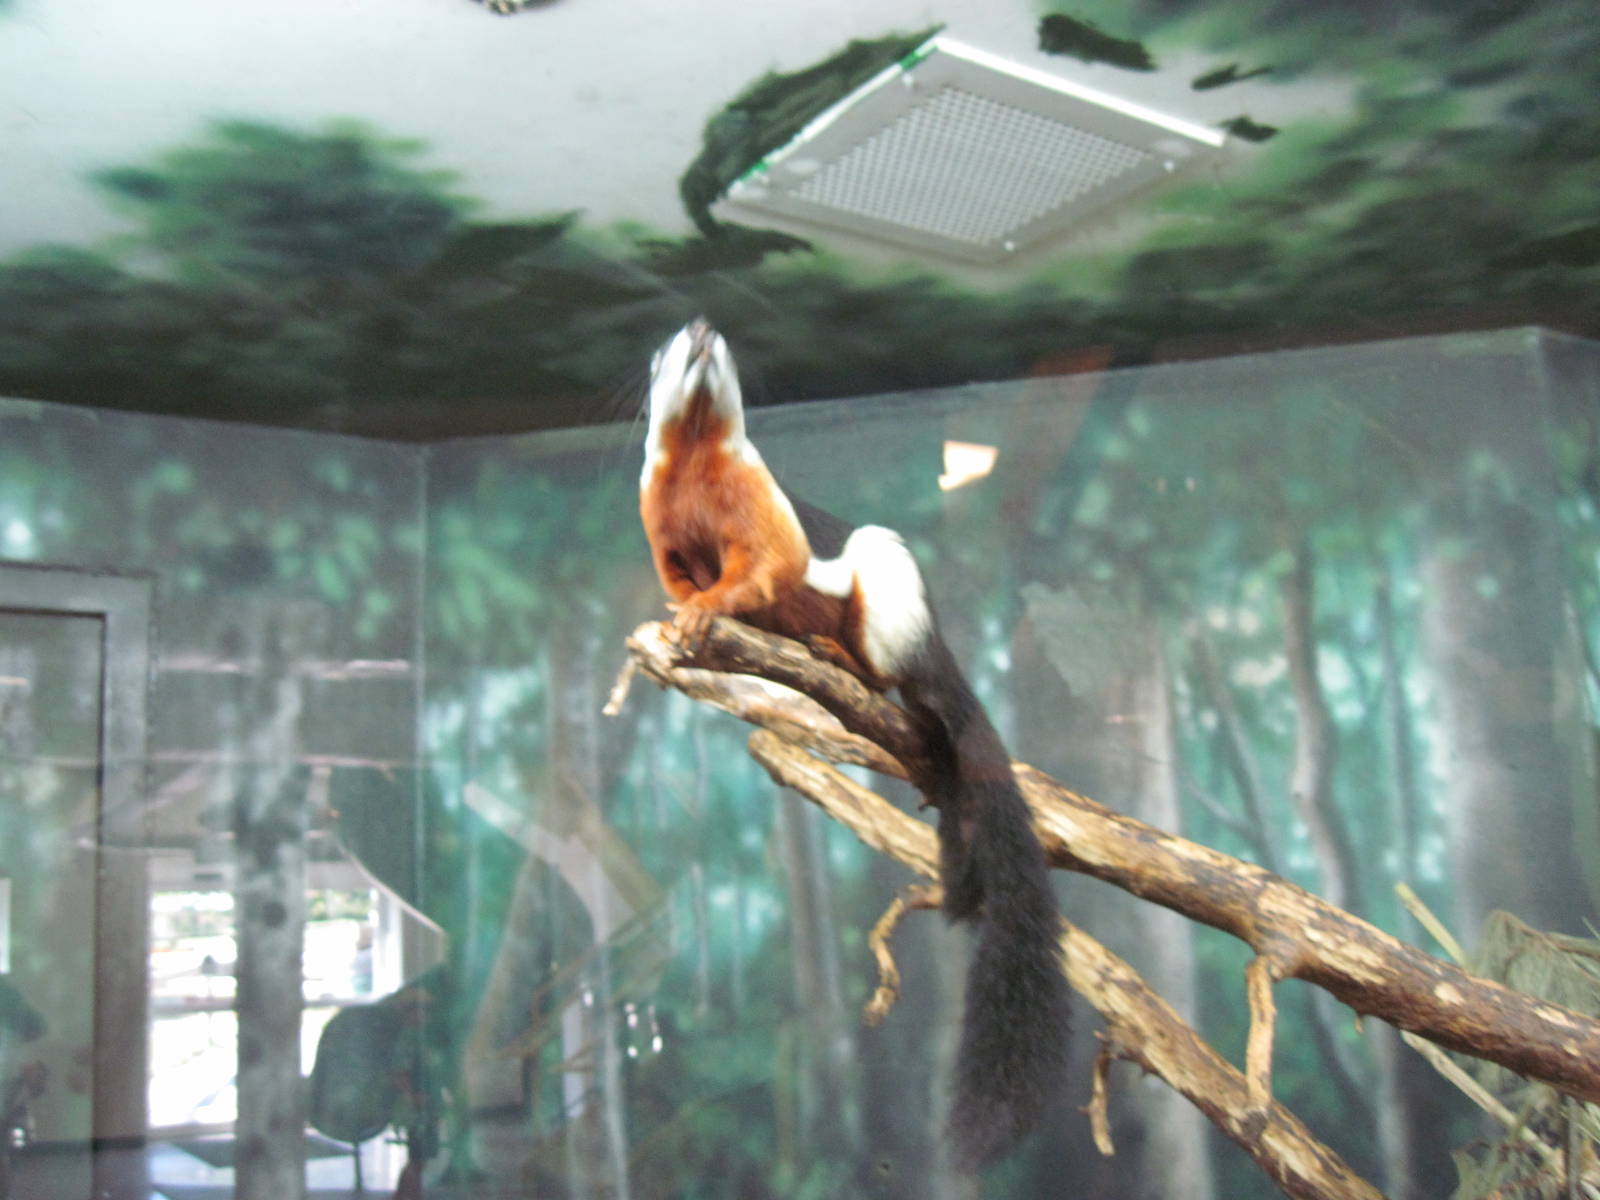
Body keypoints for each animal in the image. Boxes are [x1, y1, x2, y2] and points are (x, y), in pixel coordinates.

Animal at [638, 319, 1071, 1168]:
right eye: (675, 342)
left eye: (716, 341)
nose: (702, 328)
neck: (700, 457)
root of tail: (937, 643)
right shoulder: (660, 528)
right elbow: (675, 580)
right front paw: (682, 616)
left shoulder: (764, 516)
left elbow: (767, 571)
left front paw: (709, 612)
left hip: (886, 592)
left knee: (884, 660)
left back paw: (839, 656)